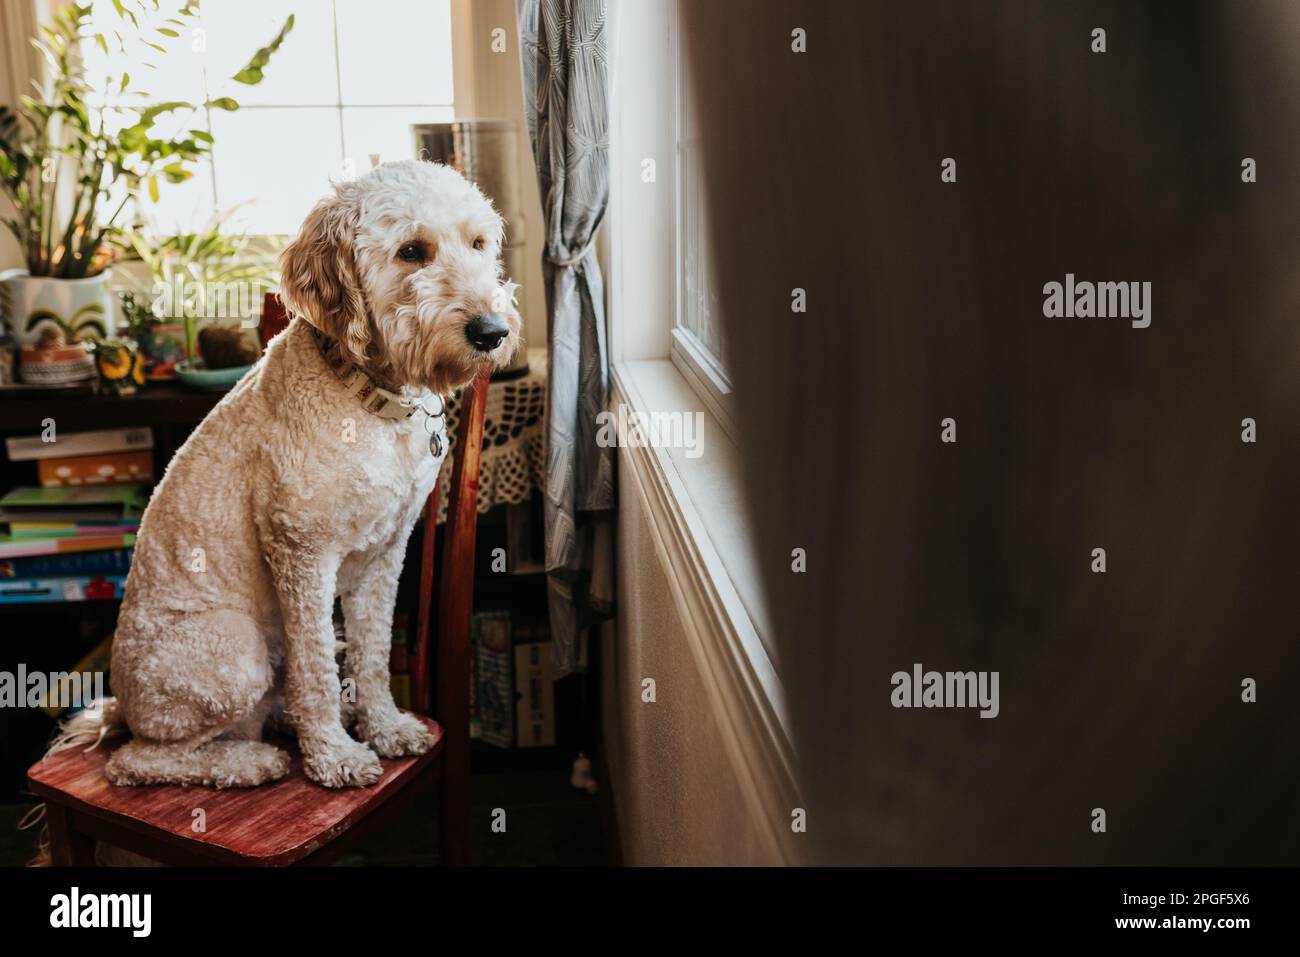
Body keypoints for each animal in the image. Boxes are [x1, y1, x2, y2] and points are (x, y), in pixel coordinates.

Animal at [52, 160, 517, 790]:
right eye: (411, 251)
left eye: (478, 244)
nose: (492, 331)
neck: (366, 399)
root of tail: (121, 704)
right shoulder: (301, 554)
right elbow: (315, 663)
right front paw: (335, 756)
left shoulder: (384, 555)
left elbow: (372, 651)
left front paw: (384, 725)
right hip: (231, 647)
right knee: (139, 760)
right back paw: (250, 762)